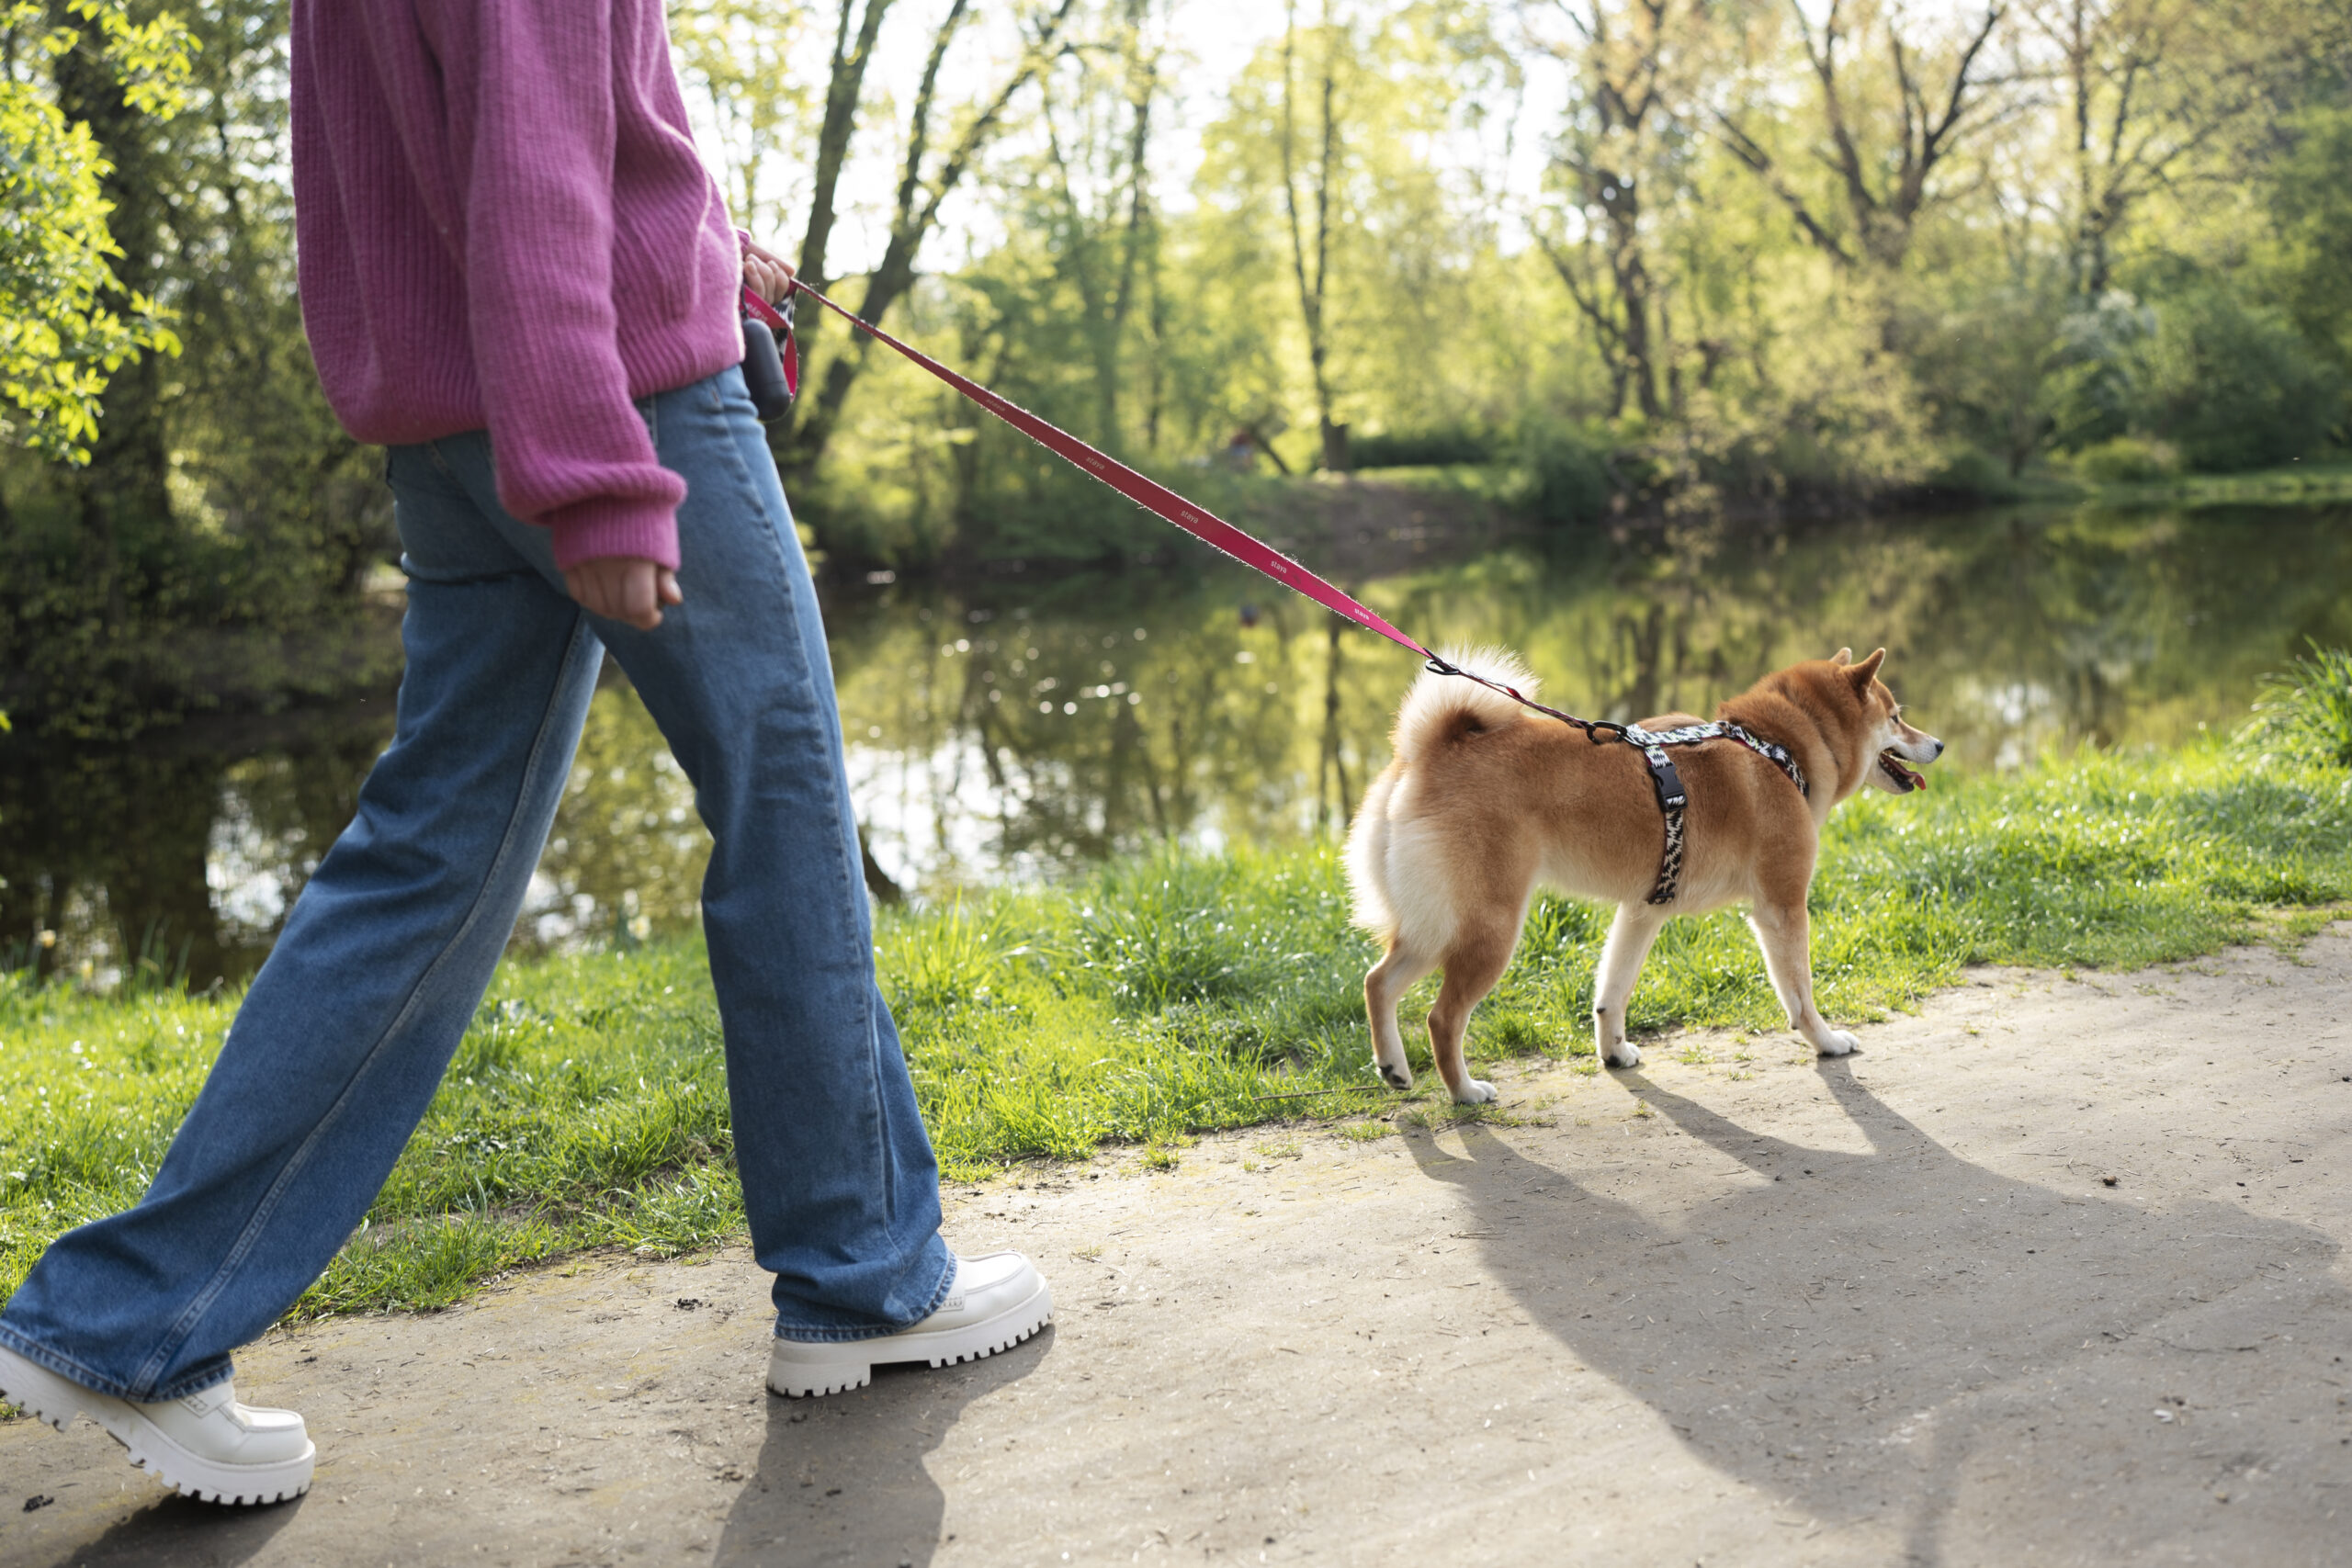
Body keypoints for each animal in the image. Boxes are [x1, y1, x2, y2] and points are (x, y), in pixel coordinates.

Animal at [1354, 644, 1938, 1100]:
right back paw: (1465, 1091)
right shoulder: (1782, 906)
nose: (1939, 743)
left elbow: (1611, 993)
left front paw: (1613, 1053)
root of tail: (1429, 754)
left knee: (1378, 982)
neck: (1777, 745)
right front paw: (1827, 1041)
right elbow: (1800, 992)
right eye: (1896, 716)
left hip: (1434, 925)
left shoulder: (1641, 911)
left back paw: (1394, 1068)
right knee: (1441, 1017)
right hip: (1489, 930)